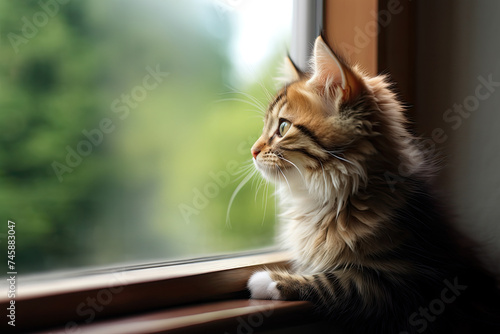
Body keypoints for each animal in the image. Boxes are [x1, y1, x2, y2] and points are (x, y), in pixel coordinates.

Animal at [246, 35, 500, 332]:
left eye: (283, 127)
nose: (252, 150)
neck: (340, 197)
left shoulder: (406, 282)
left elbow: (337, 281)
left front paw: (270, 281)